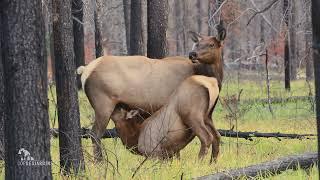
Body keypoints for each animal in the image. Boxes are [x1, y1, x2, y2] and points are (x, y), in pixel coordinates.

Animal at [76, 25, 226, 160]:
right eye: (197, 43)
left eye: (212, 44)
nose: (192, 54)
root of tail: (84, 70)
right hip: (103, 105)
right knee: (95, 134)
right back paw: (100, 163)